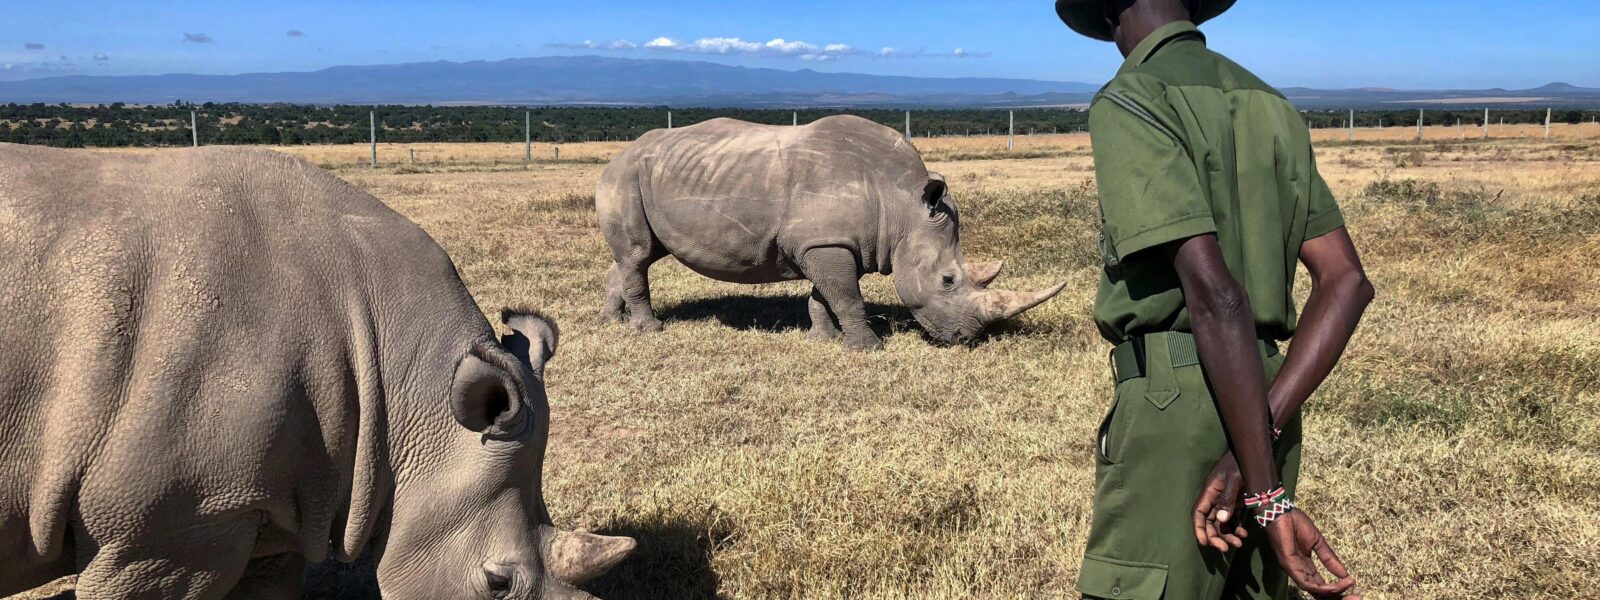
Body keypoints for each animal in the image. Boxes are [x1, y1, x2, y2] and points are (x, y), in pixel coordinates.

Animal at [596, 115, 1064, 350]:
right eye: (948, 281)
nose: (966, 339)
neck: (902, 205)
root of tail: (617, 155)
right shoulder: (827, 242)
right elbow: (846, 295)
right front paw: (868, 348)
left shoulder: (829, 242)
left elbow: (826, 294)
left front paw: (824, 338)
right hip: (625, 176)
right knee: (637, 255)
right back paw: (650, 330)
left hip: (650, 177)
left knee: (638, 255)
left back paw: (612, 322)